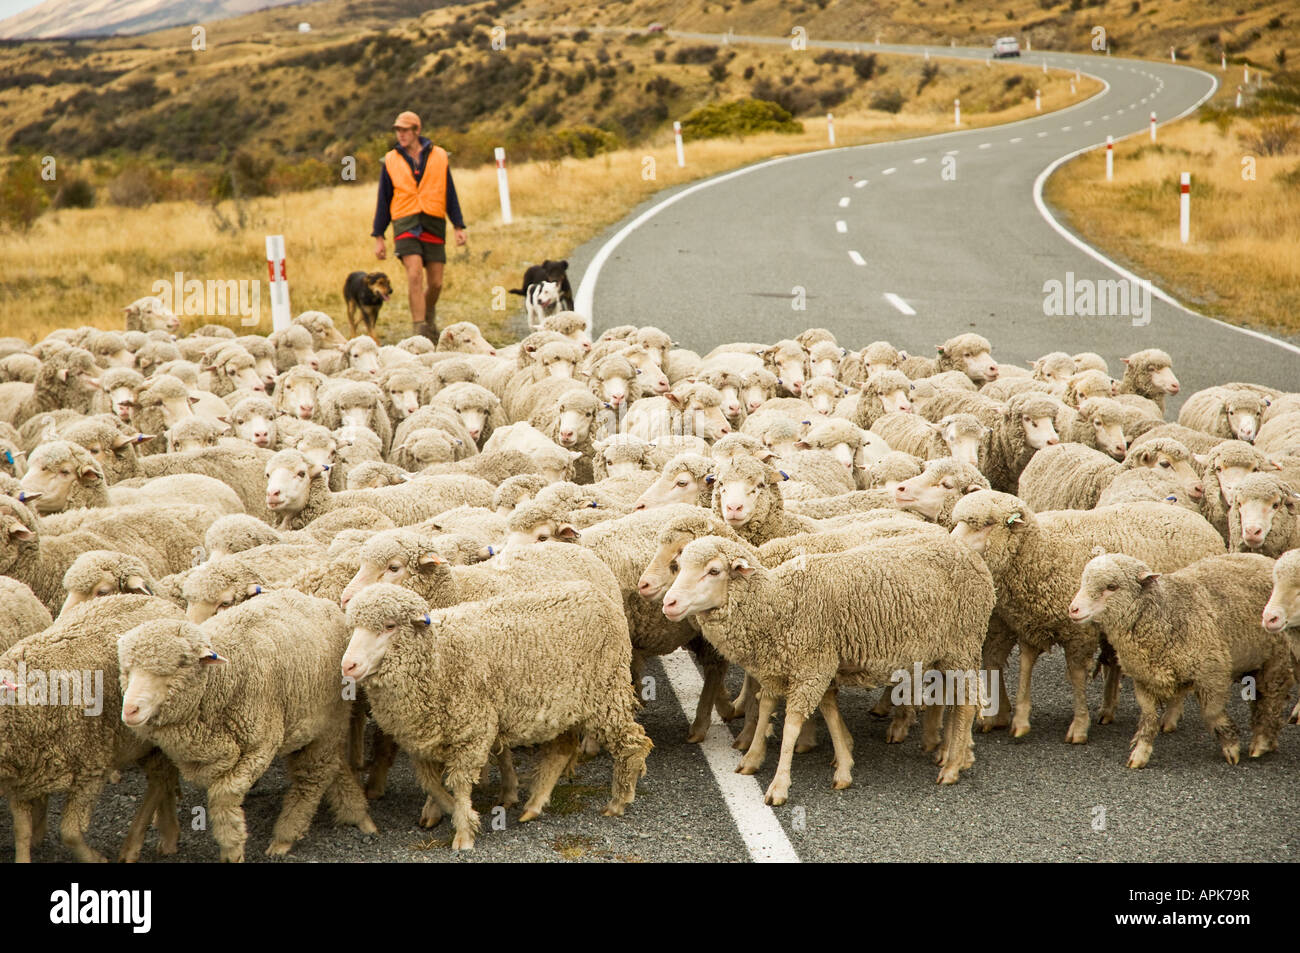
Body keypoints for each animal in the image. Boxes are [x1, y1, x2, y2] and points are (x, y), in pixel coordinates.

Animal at [0, 594, 186, 863]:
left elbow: (70, 832)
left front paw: (96, 858)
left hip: (153, 741)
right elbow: (21, 831)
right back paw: (169, 834)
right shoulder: (22, 779)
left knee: (158, 782)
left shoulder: (90, 769)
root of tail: (159, 601)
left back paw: (133, 845)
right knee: (163, 781)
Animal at [118, 591, 377, 862]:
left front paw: (232, 850)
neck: (221, 682)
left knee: (315, 774)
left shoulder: (259, 747)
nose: (130, 710)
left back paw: (285, 837)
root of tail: (319, 601)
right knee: (333, 763)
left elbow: (224, 797)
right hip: (305, 723)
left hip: (330, 720)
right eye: (127, 669)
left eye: (179, 664)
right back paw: (357, 813)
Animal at [661, 531, 994, 801]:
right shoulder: (789, 668)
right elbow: (787, 707)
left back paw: (951, 767)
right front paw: (757, 758)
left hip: (962, 644)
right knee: (957, 698)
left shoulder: (813, 665)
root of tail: (972, 556)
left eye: (713, 570)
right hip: (944, 653)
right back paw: (954, 753)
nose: (669, 603)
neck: (779, 603)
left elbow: (793, 723)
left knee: (966, 704)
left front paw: (779, 785)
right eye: (679, 566)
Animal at [949, 491, 1225, 743]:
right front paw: (1020, 720)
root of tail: (1200, 520)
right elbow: (1025, 666)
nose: (952, 543)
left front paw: (1079, 726)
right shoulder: (1030, 622)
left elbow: (1076, 675)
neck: (1041, 549)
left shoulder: (1079, 631)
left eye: (987, 523)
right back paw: (1108, 709)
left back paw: (1170, 717)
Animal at [1069, 552, 1291, 767]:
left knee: (1272, 698)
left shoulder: (1212, 675)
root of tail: (1266, 559)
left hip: (1277, 659)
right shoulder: (1144, 680)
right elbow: (1148, 719)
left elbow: (1212, 713)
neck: (1165, 615)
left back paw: (1261, 742)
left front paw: (1231, 747)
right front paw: (1140, 754)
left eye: (1112, 587)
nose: (1073, 609)